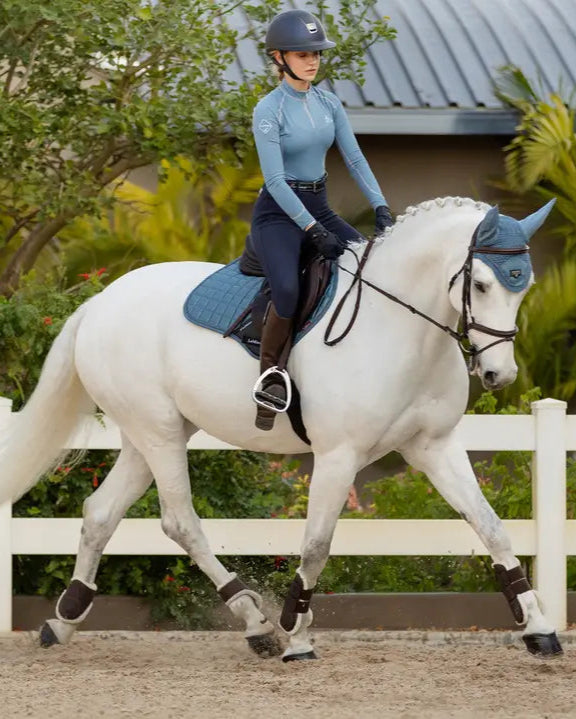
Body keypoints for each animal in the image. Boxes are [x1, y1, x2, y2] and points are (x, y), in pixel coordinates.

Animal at [0, 196, 561, 661]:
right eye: (482, 284)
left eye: (524, 286)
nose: (499, 375)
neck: (399, 325)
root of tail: (100, 302)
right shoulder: (338, 455)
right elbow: (316, 545)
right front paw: (296, 633)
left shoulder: (434, 447)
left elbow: (492, 527)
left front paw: (537, 627)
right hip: (157, 432)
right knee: (180, 521)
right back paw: (256, 623)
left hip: (151, 435)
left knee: (100, 512)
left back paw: (64, 619)